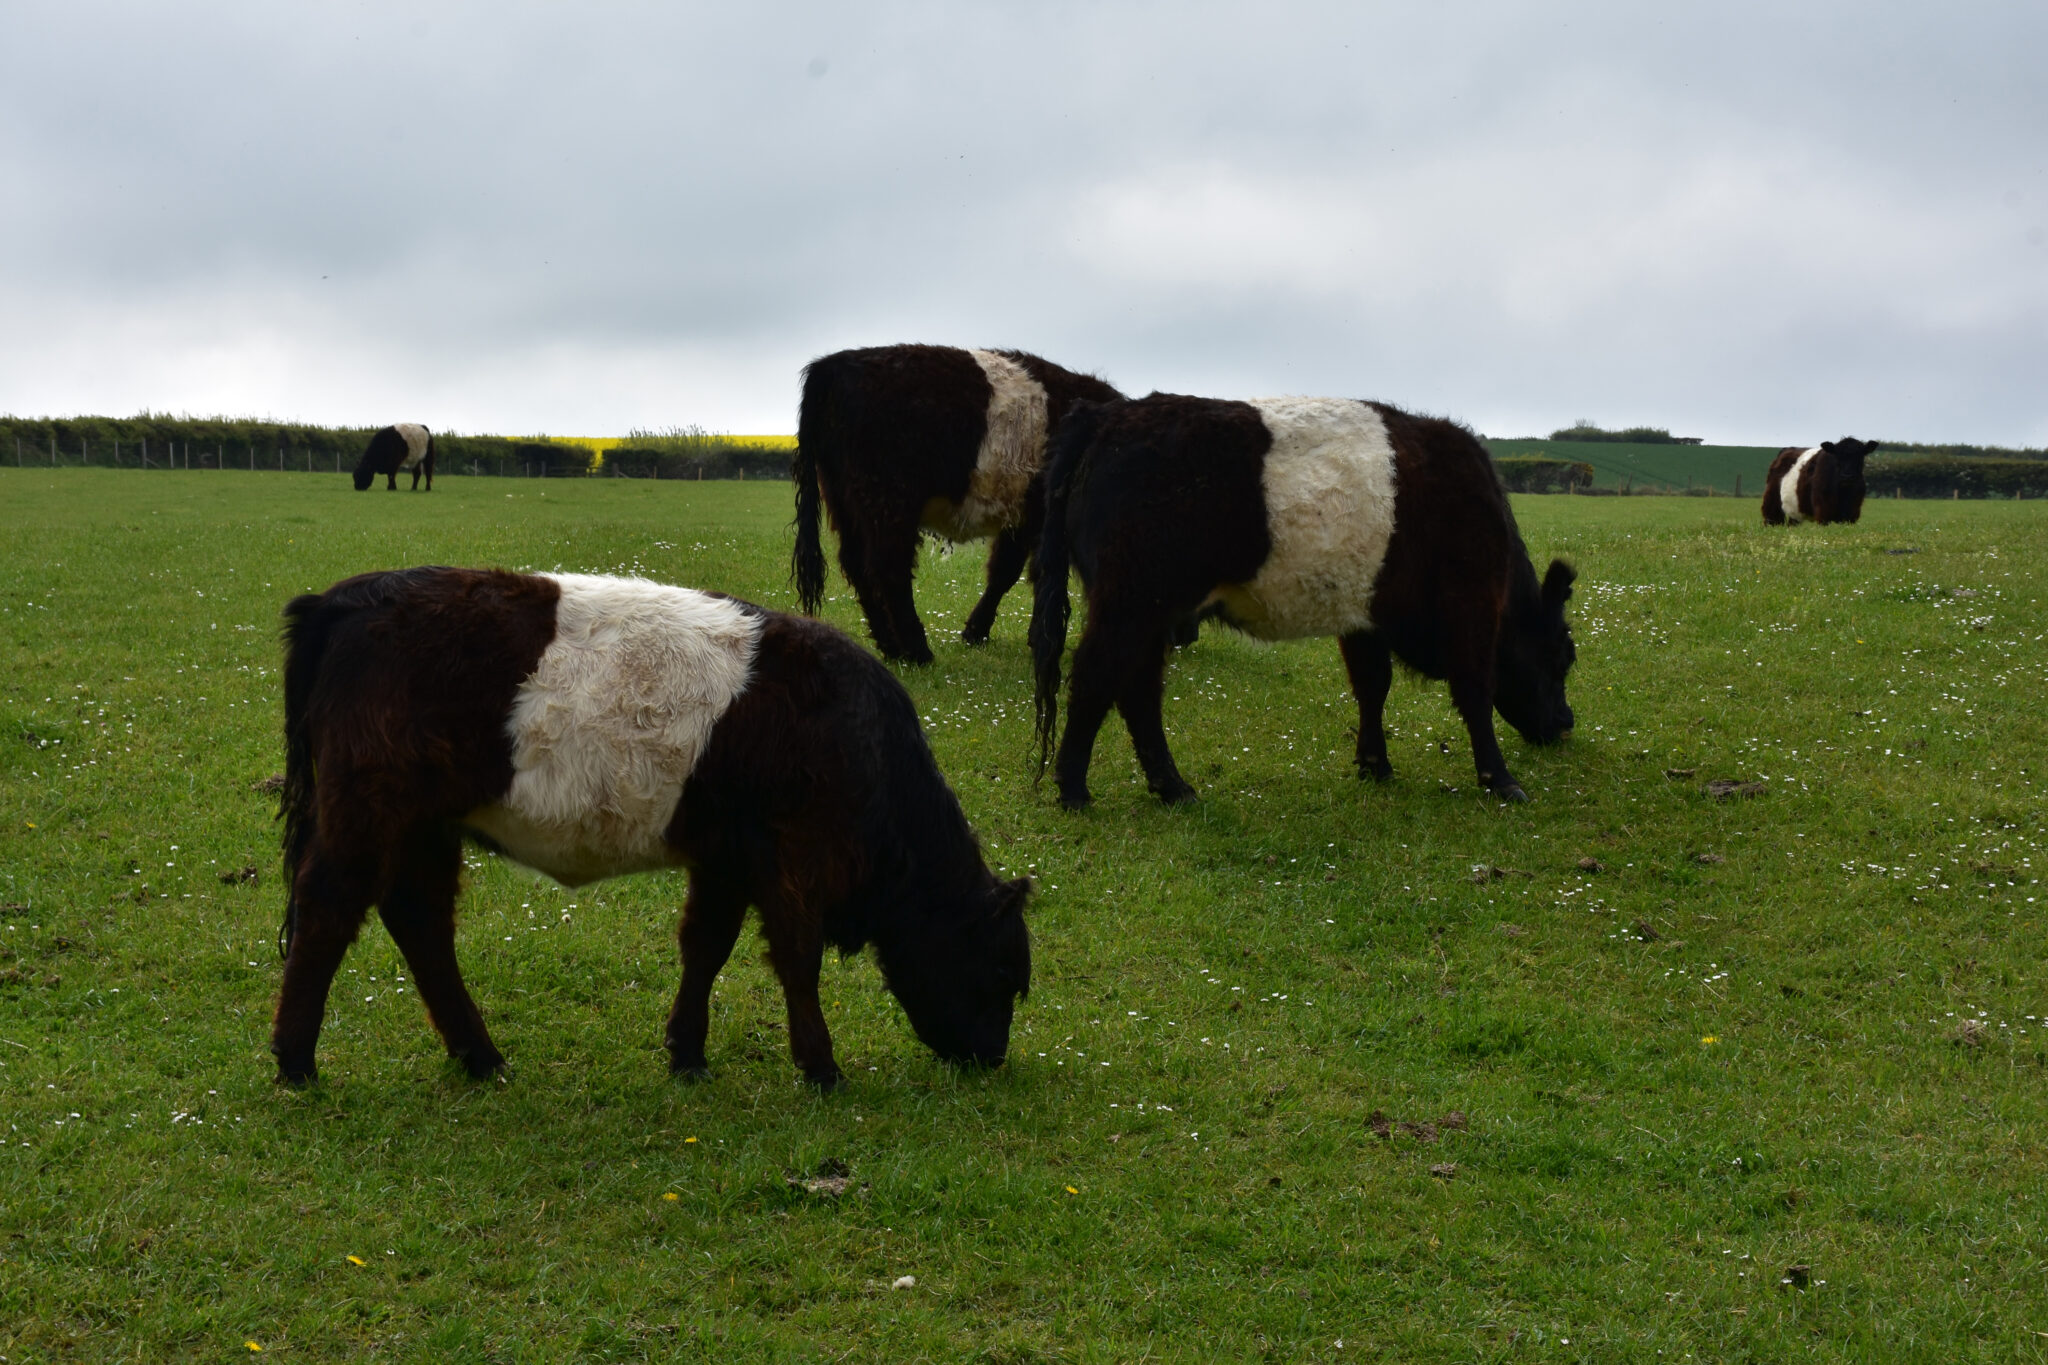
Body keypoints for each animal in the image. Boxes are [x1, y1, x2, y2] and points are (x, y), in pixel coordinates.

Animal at [272, 564, 1032, 1088]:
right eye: (1004, 971)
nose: (993, 1056)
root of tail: (345, 598)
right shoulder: (793, 857)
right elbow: (797, 957)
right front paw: (821, 1066)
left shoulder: (727, 858)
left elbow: (706, 946)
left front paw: (687, 1053)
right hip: (368, 814)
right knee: (328, 912)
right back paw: (296, 1061)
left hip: (425, 826)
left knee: (420, 921)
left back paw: (480, 1056)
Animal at [794, 341, 1122, 663]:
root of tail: (831, 365)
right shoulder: (1039, 519)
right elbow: (1031, 572)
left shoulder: (1022, 518)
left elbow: (1005, 572)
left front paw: (977, 632)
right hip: (889, 500)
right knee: (889, 569)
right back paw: (917, 651)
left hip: (844, 500)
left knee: (858, 566)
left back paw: (891, 647)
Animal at [1024, 388, 1581, 806]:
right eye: (1563, 658)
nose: (1565, 724)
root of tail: (1106, 415)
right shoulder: (1471, 599)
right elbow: (1475, 690)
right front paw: (1500, 780)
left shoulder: (1364, 616)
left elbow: (1372, 687)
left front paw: (1374, 764)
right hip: (1130, 602)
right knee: (1096, 677)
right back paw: (1073, 789)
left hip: (1148, 612)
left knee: (1137, 690)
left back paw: (1173, 787)